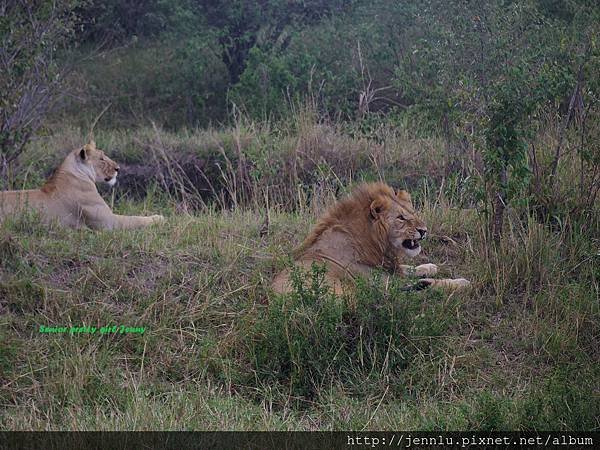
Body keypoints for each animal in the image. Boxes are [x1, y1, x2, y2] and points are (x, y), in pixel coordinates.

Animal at [274, 181, 474, 294]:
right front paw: (460, 282)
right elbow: (427, 279)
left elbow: (407, 268)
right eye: (401, 218)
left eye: (412, 213)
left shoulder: (387, 268)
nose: (424, 230)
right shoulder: (382, 280)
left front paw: (429, 266)